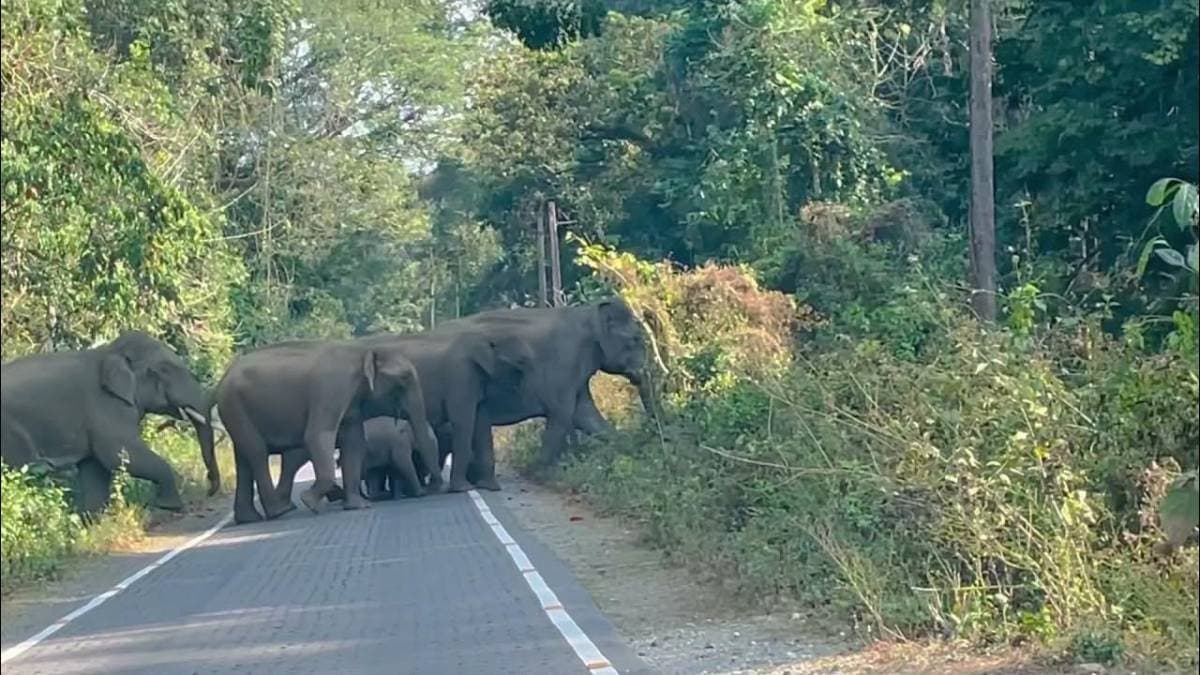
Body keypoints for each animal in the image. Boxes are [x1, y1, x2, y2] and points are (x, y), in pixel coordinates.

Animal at [0, 331, 218, 515]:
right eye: (163, 370)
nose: (209, 489)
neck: (108, 352)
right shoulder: (106, 406)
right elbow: (118, 454)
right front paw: (170, 506)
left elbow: (95, 468)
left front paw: (94, 523)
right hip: (10, 432)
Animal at [212, 337, 440, 525]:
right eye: (404, 379)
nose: (437, 488)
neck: (363, 351)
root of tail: (221, 381)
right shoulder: (331, 390)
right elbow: (317, 436)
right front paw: (310, 502)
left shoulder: (351, 403)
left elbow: (354, 443)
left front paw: (358, 507)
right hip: (234, 406)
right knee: (257, 452)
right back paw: (279, 511)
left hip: (235, 410)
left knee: (243, 457)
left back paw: (250, 518)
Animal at [273, 326, 534, 499]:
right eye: (520, 363)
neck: (483, 335)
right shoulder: (460, 376)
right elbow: (464, 421)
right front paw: (462, 489)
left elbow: (481, 422)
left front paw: (491, 487)